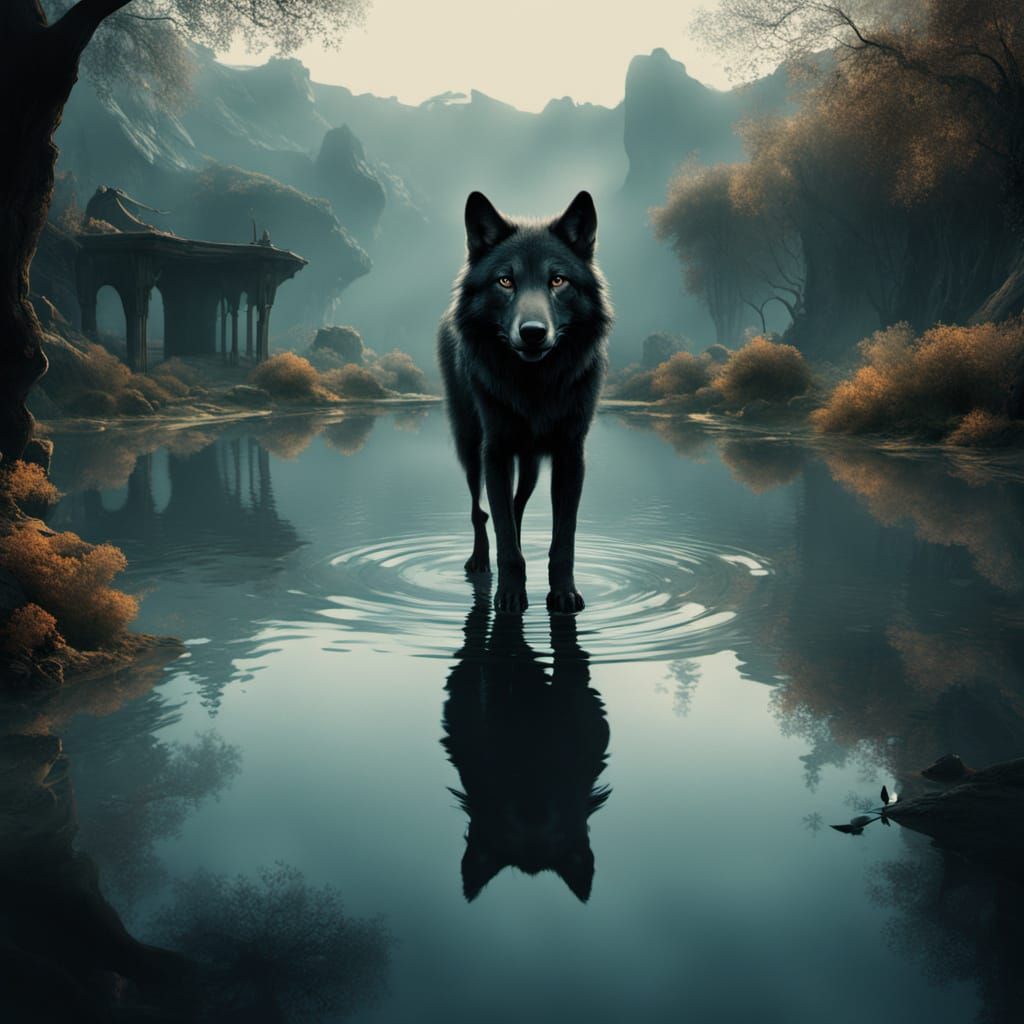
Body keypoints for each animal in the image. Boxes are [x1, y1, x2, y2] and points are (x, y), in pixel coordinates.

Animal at [437, 190, 613, 613]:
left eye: (558, 280)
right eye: (505, 281)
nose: (533, 332)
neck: (536, 386)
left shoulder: (570, 456)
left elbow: (563, 538)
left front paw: (564, 594)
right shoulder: (496, 453)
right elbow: (503, 534)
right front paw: (509, 596)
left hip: (531, 465)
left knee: (516, 508)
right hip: (469, 448)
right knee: (480, 511)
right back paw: (479, 561)